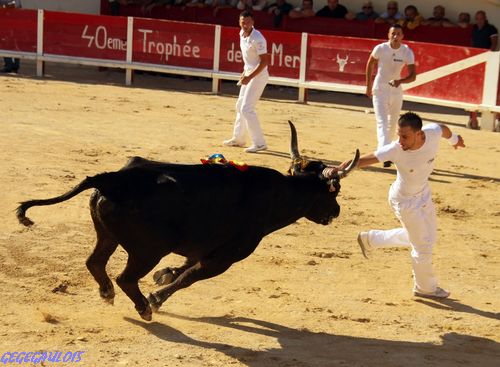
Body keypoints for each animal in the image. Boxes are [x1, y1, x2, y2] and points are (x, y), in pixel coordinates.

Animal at [16, 122, 360, 320]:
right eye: (335, 191)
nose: (337, 212)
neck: (276, 195)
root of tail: (113, 178)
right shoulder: (224, 258)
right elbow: (188, 277)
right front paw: (156, 298)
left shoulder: (203, 249)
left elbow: (181, 270)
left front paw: (163, 278)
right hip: (147, 250)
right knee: (125, 277)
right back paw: (143, 308)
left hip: (108, 235)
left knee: (95, 262)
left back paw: (107, 294)